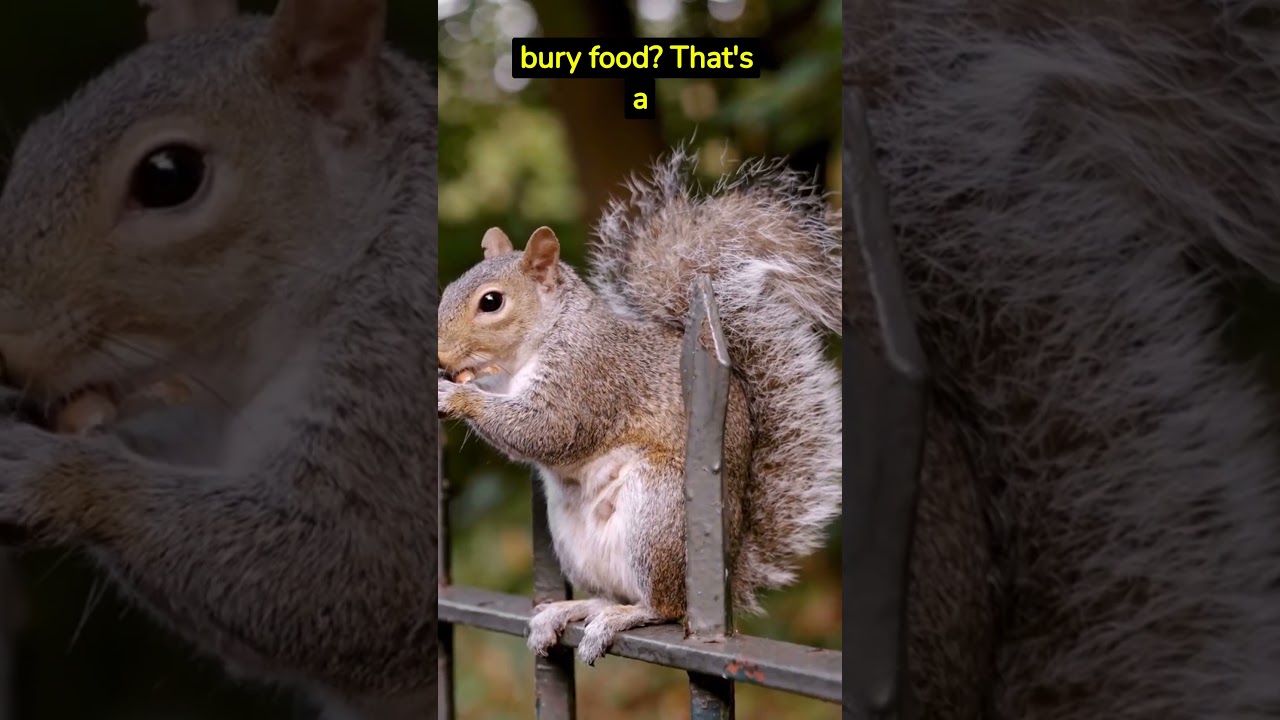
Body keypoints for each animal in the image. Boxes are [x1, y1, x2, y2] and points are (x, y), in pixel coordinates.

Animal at [437, 150, 843, 665]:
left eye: (491, 302)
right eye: (447, 289)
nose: (439, 355)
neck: (531, 350)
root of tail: (727, 570)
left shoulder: (589, 376)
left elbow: (549, 430)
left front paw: (455, 396)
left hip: (659, 513)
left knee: (664, 607)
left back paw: (623, 617)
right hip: (573, 534)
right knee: (612, 594)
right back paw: (573, 608)